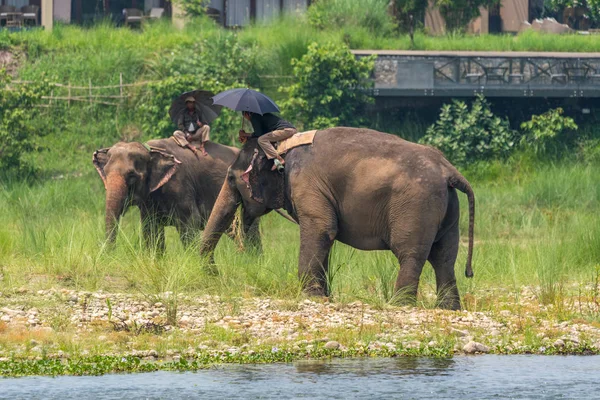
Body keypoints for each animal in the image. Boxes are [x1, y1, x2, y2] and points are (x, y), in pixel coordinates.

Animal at [92, 139, 262, 252]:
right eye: (105, 172)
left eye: (132, 175)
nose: (111, 252)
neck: (151, 150)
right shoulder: (149, 199)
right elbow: (150, 228)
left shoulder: (180, 186)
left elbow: (190, 223)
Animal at [199, 128, 476, 310]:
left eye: (231, 178)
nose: (214, 273)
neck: (281, 149)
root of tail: (449, 170)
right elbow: (325, 235)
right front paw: (323, 296)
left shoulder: (305, 182)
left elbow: (321, 228)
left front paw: (310, 297)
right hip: (448, 207)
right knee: (444, 257)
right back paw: (448, 309)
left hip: (416, 205)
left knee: (411, 254)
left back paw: (400, 305)